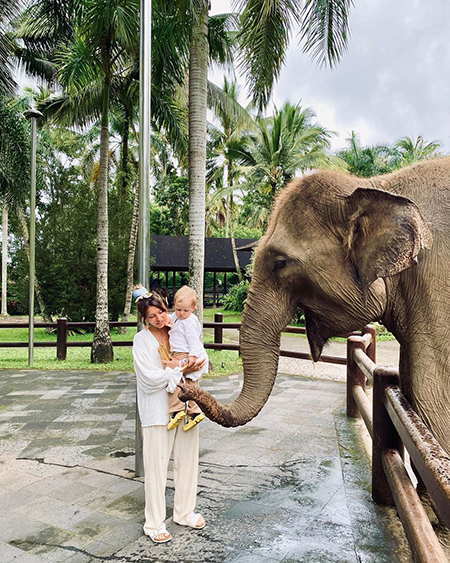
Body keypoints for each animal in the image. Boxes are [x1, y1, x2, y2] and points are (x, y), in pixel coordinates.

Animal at [179, 158, 450, 548]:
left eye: (280, 263)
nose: (184, 386)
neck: (377, 184)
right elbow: (415, 396)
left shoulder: (436, 290)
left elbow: (433, 401)